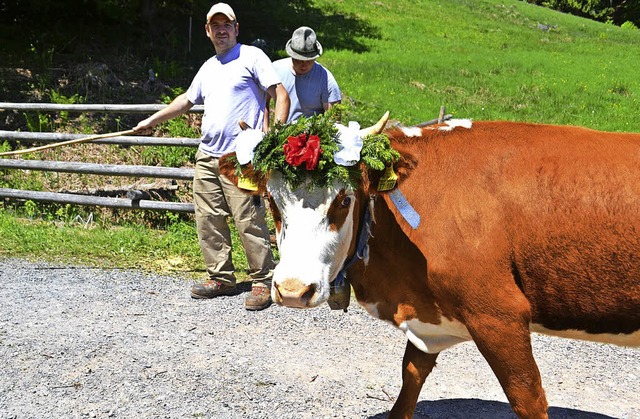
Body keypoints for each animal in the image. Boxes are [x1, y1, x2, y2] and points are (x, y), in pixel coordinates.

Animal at [221, 115, 640, 419]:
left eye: (343, 200)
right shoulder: (428, 317)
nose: (293, 289)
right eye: (272, 201)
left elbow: (529, 398)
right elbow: (410, 380)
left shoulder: (500, 313)